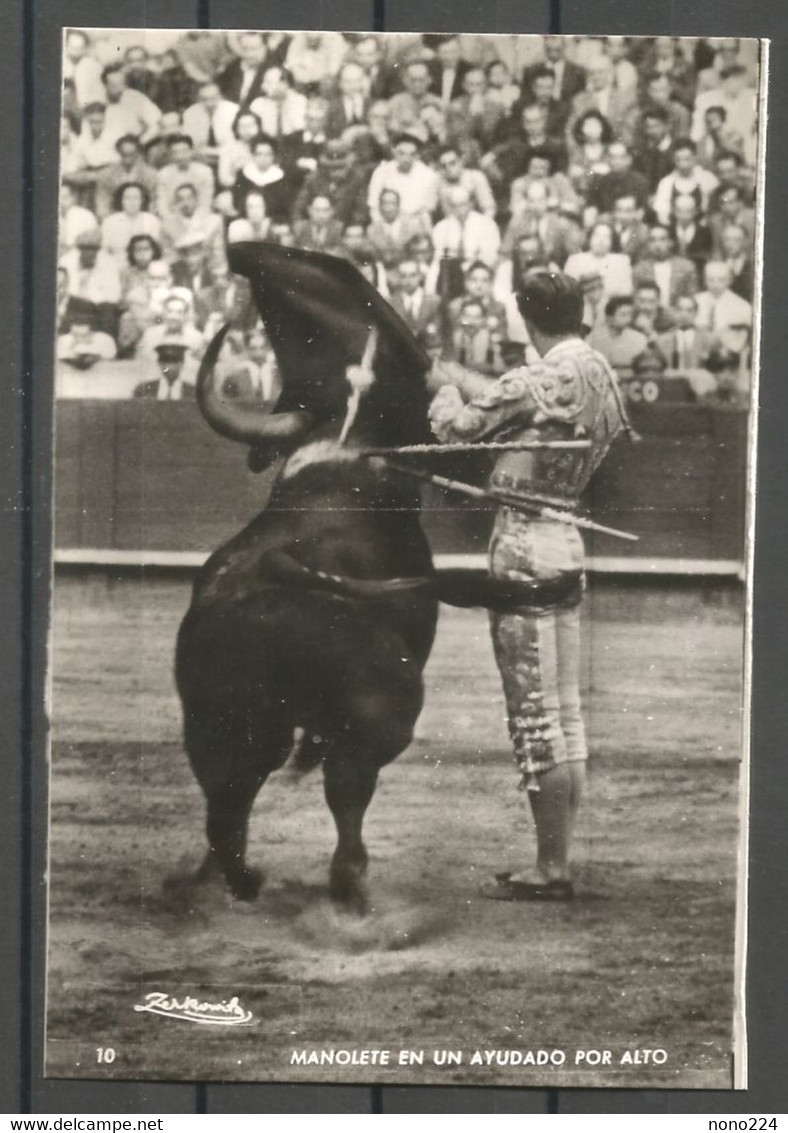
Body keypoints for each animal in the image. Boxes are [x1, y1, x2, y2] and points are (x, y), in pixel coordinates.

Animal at [175, 241, 575, 910]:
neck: (344, 456)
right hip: (381, 712)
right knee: (344, 782)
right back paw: (348, 881)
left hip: (218, 721)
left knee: (228, 801)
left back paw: (235, 879)